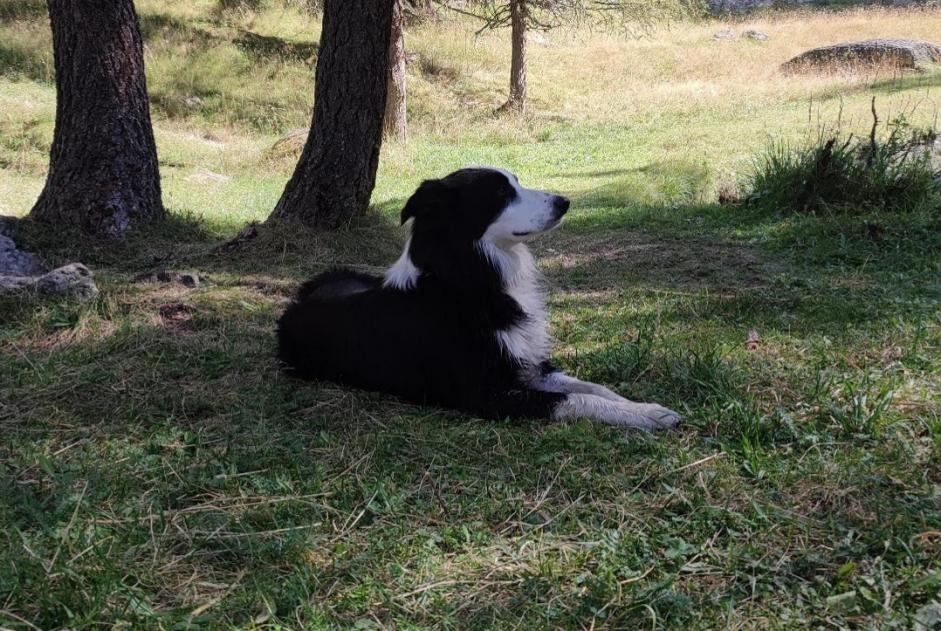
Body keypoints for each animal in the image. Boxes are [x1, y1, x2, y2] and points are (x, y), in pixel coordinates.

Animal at [276, 168, 680, 432]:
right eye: (501, 193)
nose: (564, 202)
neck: (469, 281)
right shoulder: (487, 393)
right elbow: (574, 399)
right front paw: (641, 417)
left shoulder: (527, 365)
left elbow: (592, 387)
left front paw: (645, 408)